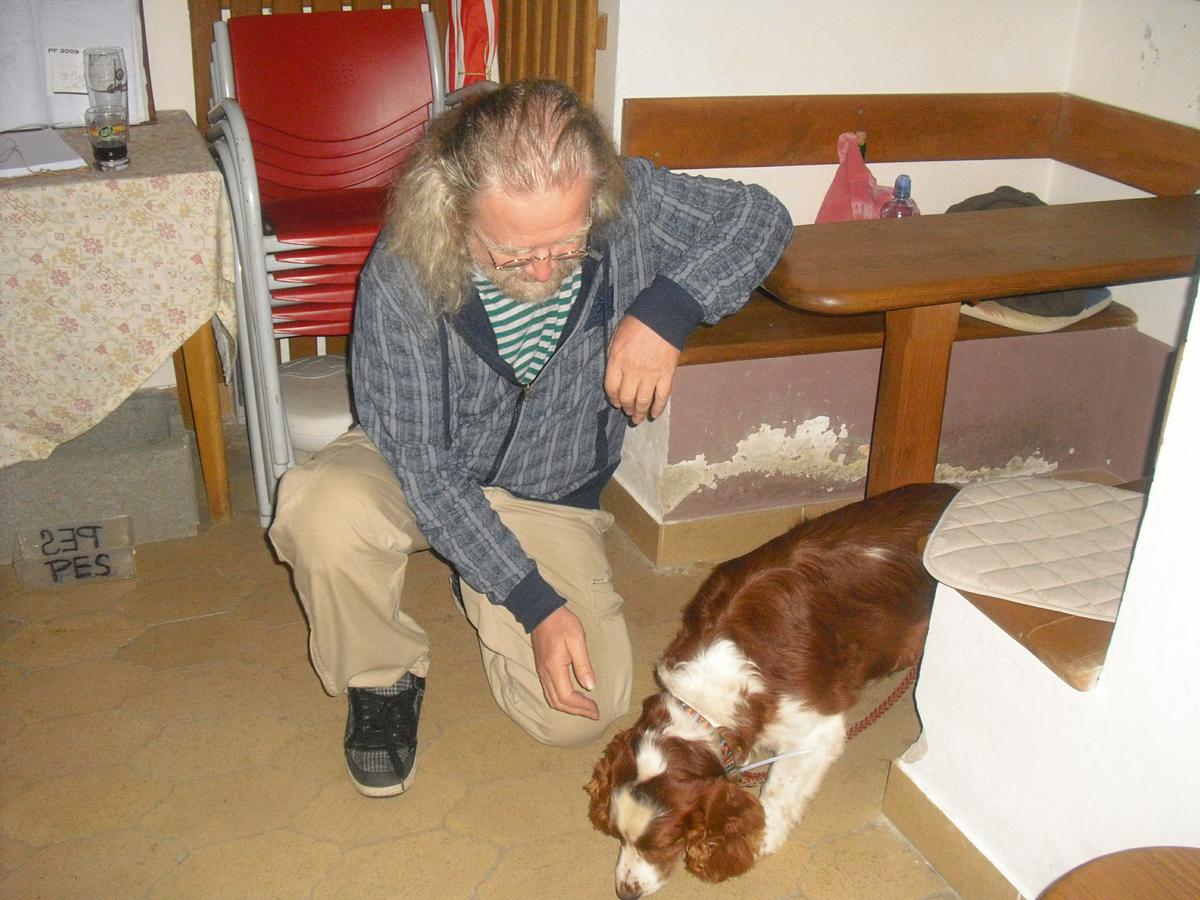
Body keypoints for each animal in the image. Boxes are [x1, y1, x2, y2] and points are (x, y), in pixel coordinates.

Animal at [586, 482, 958, 898]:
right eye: (618, 835)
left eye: (661, 844)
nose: (624, 890)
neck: (706, 696)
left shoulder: (816, 730)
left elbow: (778, 792)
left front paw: (759, 839)